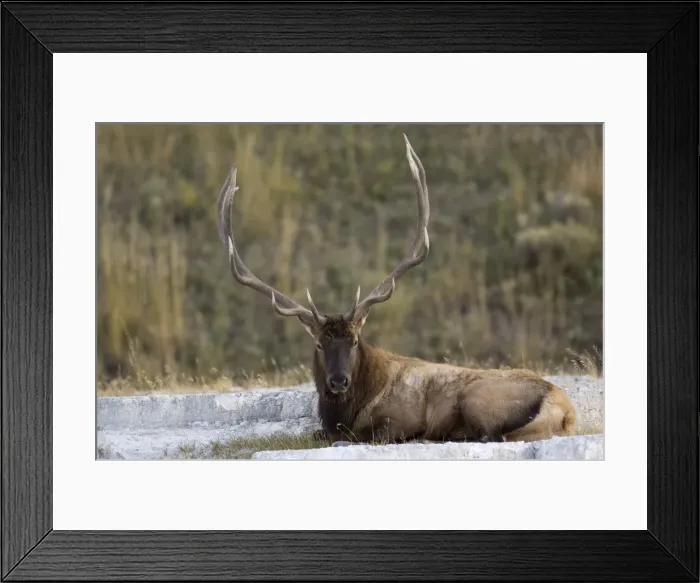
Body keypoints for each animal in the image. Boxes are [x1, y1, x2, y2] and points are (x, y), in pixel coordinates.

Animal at [217, 134, 577, 446]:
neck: (346, 411)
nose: (338, 381)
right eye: (319, 344)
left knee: (487, 433)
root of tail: (566, 412)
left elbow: (363, 435)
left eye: (355, 340)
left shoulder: (401, 418)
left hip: (474, 396)